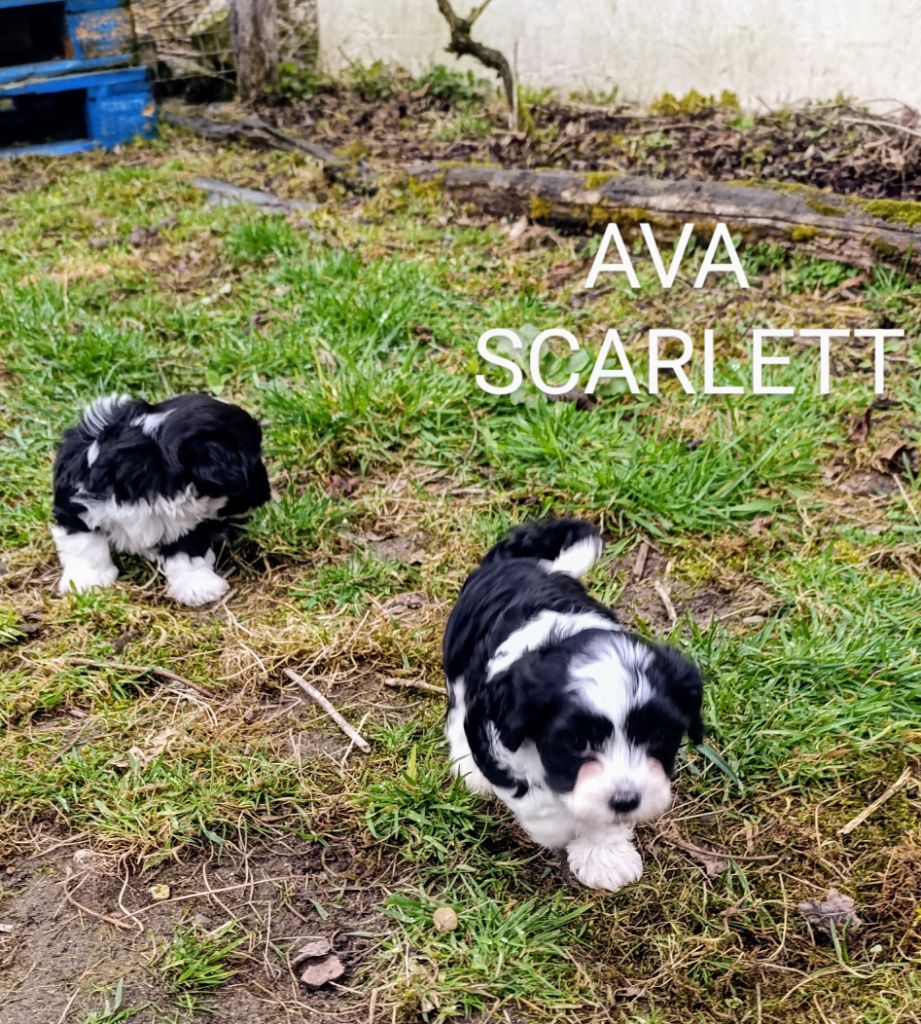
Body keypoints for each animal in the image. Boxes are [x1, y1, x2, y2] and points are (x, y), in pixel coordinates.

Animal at [51, 393, 271, 607]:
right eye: (253, 463)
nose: (266, 494)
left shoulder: (188, 521)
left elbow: (188, 549)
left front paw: (197, 585)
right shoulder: (77, 502)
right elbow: (84, 543)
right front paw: (85, 581)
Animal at [443, 518, 704, 891]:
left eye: (658, 738)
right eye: (578, 743)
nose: (626, 800)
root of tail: (517, 562)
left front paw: (603, 854)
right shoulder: (491, 729)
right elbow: (538, 800)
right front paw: (565, 831)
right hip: (459, 662)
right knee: (456, 711)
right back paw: (468, 769)